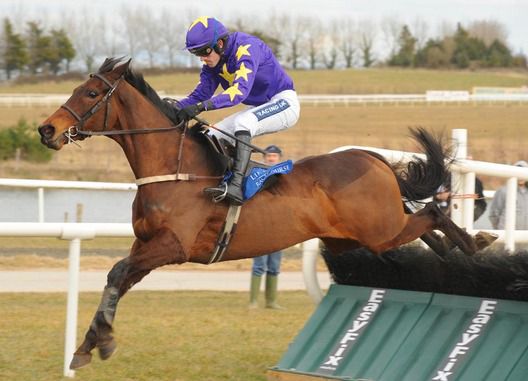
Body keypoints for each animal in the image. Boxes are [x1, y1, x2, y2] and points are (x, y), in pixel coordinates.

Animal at [37, 57, 480, 368]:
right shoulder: (145, 246)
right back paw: (454, 252)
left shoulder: (173, 246)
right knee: (422, 225)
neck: (174, 168)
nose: (47, 130)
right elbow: (118, 279)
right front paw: (89, 345)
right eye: (77, 89)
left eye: (90, 94)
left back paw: (475, 245)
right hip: (362, 235)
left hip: (378, 230)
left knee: (433, 214)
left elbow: (115, 274)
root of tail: (371, 157)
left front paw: (101, 342)